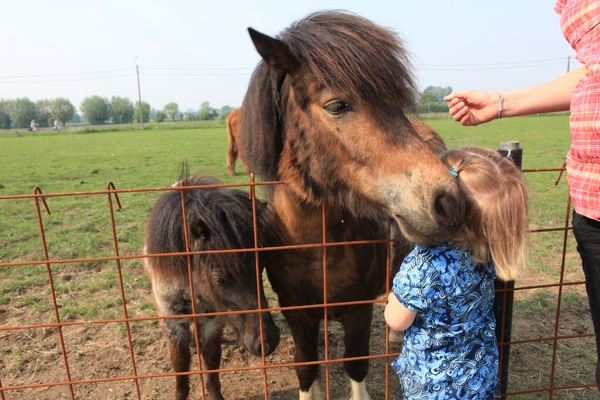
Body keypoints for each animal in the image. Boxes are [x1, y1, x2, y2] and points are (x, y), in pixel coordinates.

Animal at [144, 176, 282, 400]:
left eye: (262, 266)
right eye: (219, 279)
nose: (268, 342)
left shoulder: (212, 318)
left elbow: (211, 357)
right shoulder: (171, 319)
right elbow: (180, 363)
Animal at [238, 10, 464, 398]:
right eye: (336, 105)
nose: (448, 200)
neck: (317, 247)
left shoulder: (357, 311)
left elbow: (355, 364)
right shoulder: (296, 311)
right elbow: (306, 368)